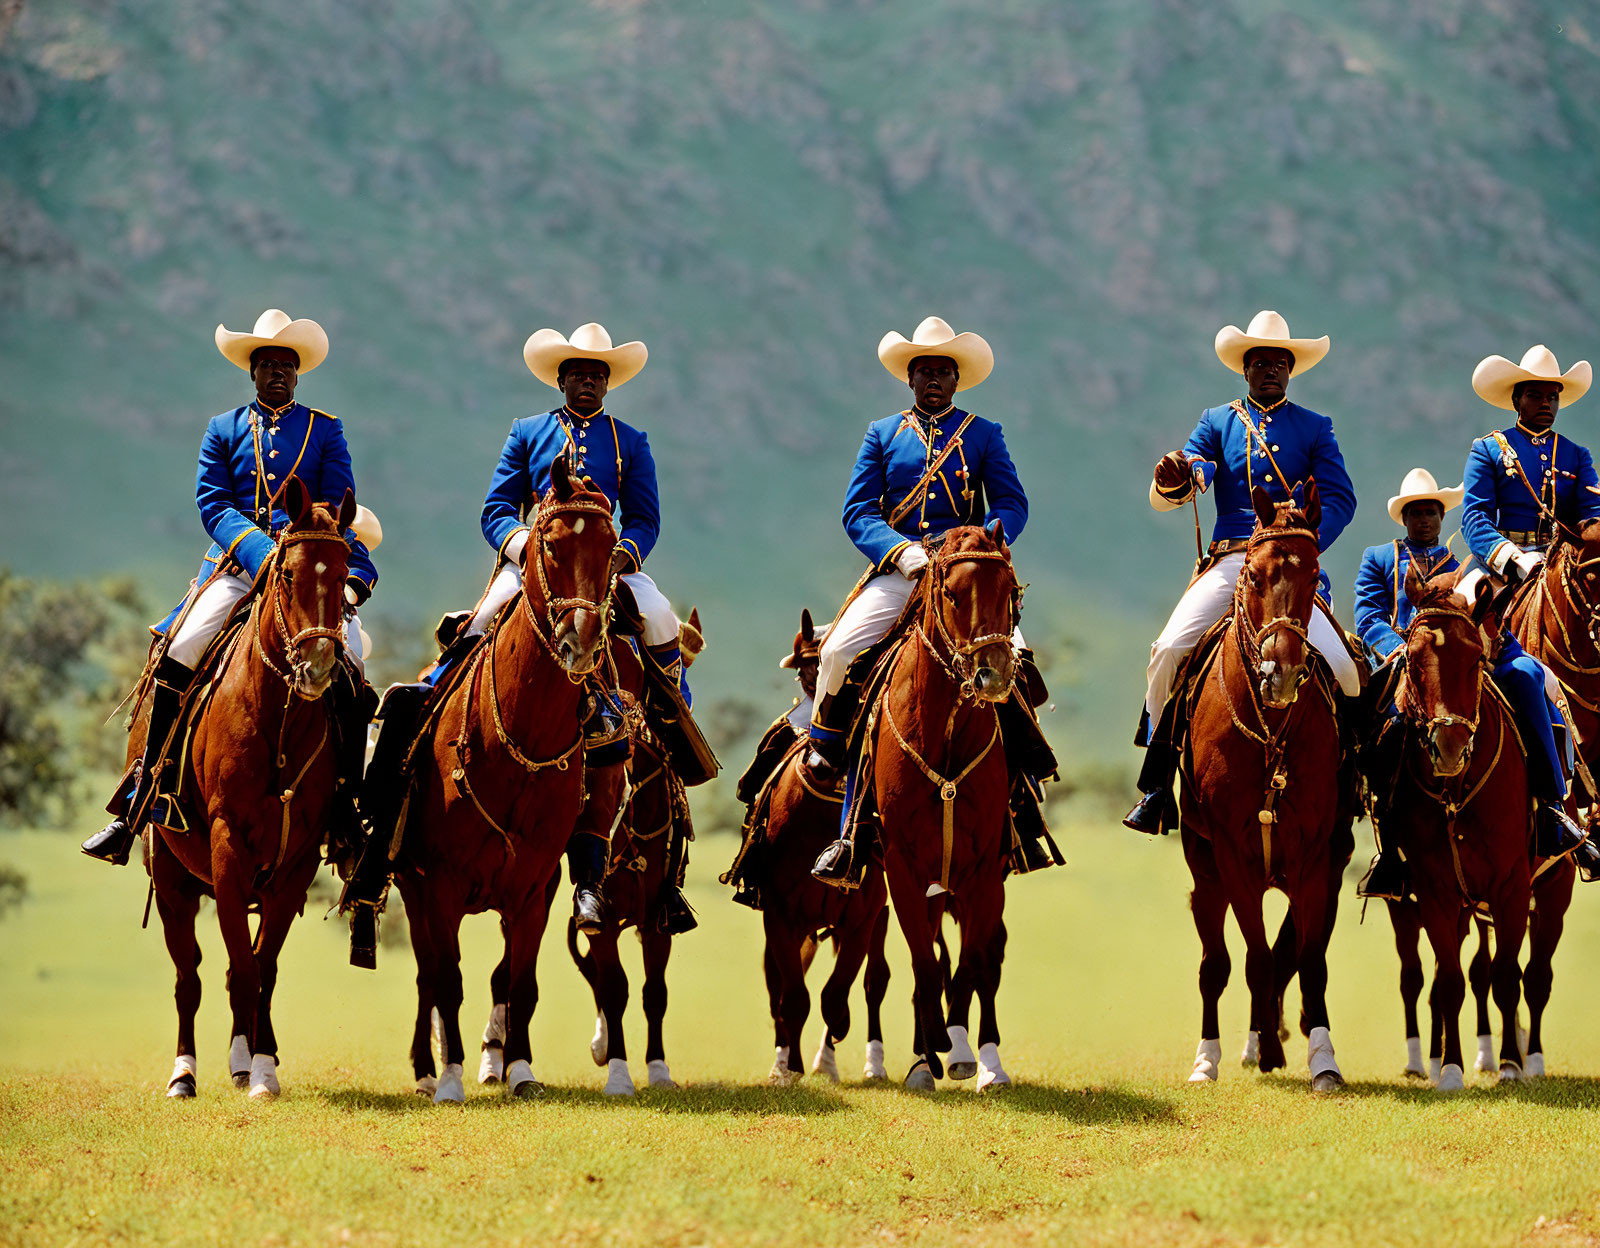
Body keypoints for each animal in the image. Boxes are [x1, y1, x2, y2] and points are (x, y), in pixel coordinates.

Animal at [147, 483, 356, 1094]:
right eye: (285, 573)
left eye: (345, 574)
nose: (318, 666)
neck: (277, 720)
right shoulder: (226, 845)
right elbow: (237, 966)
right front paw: (235, 1067)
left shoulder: (297, 861)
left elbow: (263, 967)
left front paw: (261, 1067)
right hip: (172, 879)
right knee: (188, 976)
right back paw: (185, 1073)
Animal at [396, 457, 614, 1100]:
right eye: (551, 542)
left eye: (613, 548)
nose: (581, 641)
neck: (521, 738)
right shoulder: (438, 884)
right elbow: (447, 980)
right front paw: (449, 1078)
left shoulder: (533, 890)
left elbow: (518, 983)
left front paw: (518, 1070)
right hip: (412, 889)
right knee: (426, 974)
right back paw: (426, 1068)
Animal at [870, 521, 1017, 1088]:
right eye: (952, 593)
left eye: (1010, 591)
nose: (992, 675)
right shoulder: (901, 866)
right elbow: (924, 962)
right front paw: (930, 1048)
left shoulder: (986, 870)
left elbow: (971, 965)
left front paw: (958, 1048)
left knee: (984, 964)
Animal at [1177, 483, 1350, 1088]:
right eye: (1252, 574)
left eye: (1314, 573)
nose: (1280, 675)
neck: (1271, 731)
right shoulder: (1232, 857)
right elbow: (1251, 959)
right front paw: (1253, 1051)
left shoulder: (1317, 860)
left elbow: (1310, 962)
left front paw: (1323, 1062)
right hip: (1204, 870)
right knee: (1215, 963)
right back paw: (1210, 1057)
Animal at [1382, 560, 1529, 1088]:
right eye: (1411, 660)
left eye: (1475, 660)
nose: (1448, 749)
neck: (1455, 793)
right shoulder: (1434, 890)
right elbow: (1448, 980)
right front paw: (1449, 1068)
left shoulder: (1513, 885)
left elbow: (1506, 975)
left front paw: (1509, 1065)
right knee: (1420, 977)